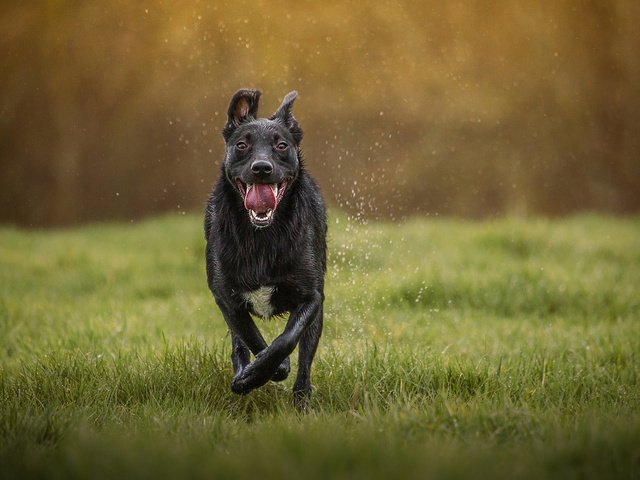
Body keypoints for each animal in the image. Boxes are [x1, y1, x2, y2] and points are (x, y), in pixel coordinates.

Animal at [204, 89, 324, 402]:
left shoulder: (311, 297)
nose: (261, 168)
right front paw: (252, 376)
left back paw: (301, 398)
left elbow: (285, 340)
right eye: (242, 145)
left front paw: (269, 369)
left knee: (305, 357)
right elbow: (252, 337)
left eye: (281, 145)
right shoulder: (226, 297)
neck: (261, 236)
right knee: (239, 342)